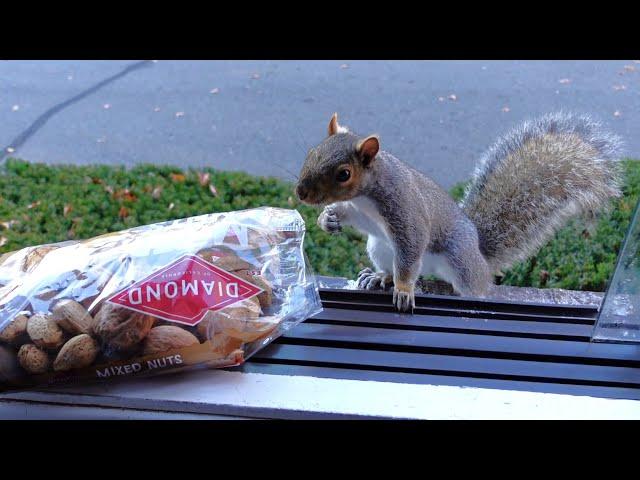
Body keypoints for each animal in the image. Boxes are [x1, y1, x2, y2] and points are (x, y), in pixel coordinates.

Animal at [298, 112, 624, 312]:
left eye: (344, 174)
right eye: (311, 152)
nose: (301, 193)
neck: (366, 197)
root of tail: (480, 254)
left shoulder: (405, 211)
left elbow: (411, 250)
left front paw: (403, 290)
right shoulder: (365, 215)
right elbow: (351, 216)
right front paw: (327, 219)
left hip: (460, 259)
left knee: (470, 287)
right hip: (379, 247)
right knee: (394, 265)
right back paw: (380, 277)